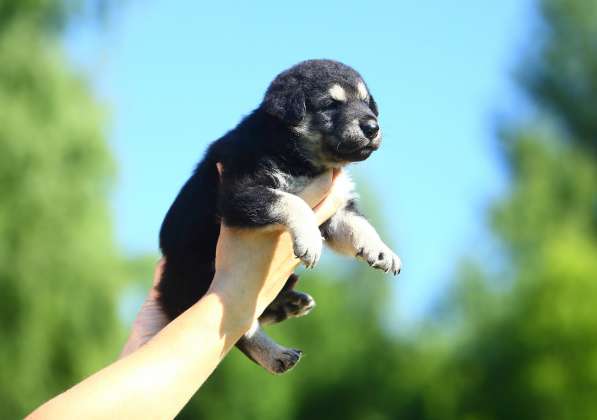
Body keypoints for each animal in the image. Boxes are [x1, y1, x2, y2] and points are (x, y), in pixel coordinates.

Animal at [158, 59, 400, 374]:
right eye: (330, 105)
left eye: (365, 101)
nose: (372, 126)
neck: (301, 159)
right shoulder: (239, 193)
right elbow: (292, 202)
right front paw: (309, 241)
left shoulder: (336, 209)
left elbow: (358, 225)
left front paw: (382, 250)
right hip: (200, 283)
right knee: (244, 330)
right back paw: (276, 354)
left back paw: (289, 303)